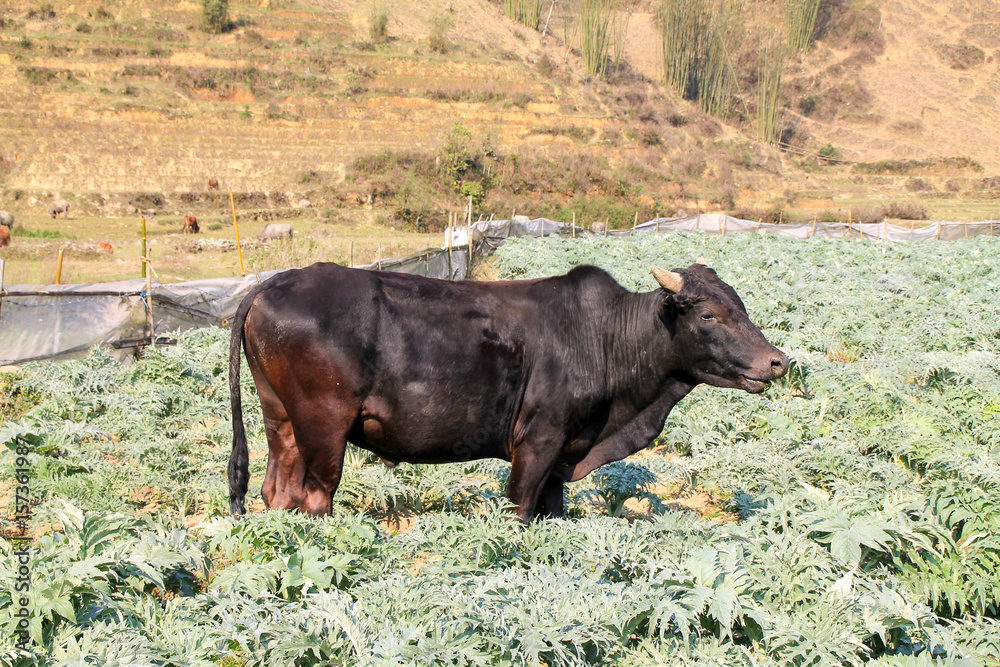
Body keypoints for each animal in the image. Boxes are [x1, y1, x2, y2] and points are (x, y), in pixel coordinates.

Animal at [227, 260, 788, 523]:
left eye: (740, 305)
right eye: (709, 315)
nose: (777, 362)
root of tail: (276, 281)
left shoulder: (563, 455)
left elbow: (552, 511)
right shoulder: (538, 441)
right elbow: (518, 509)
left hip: (281, 419)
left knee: (277, 491)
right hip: (324, 426)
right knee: (315, 496)